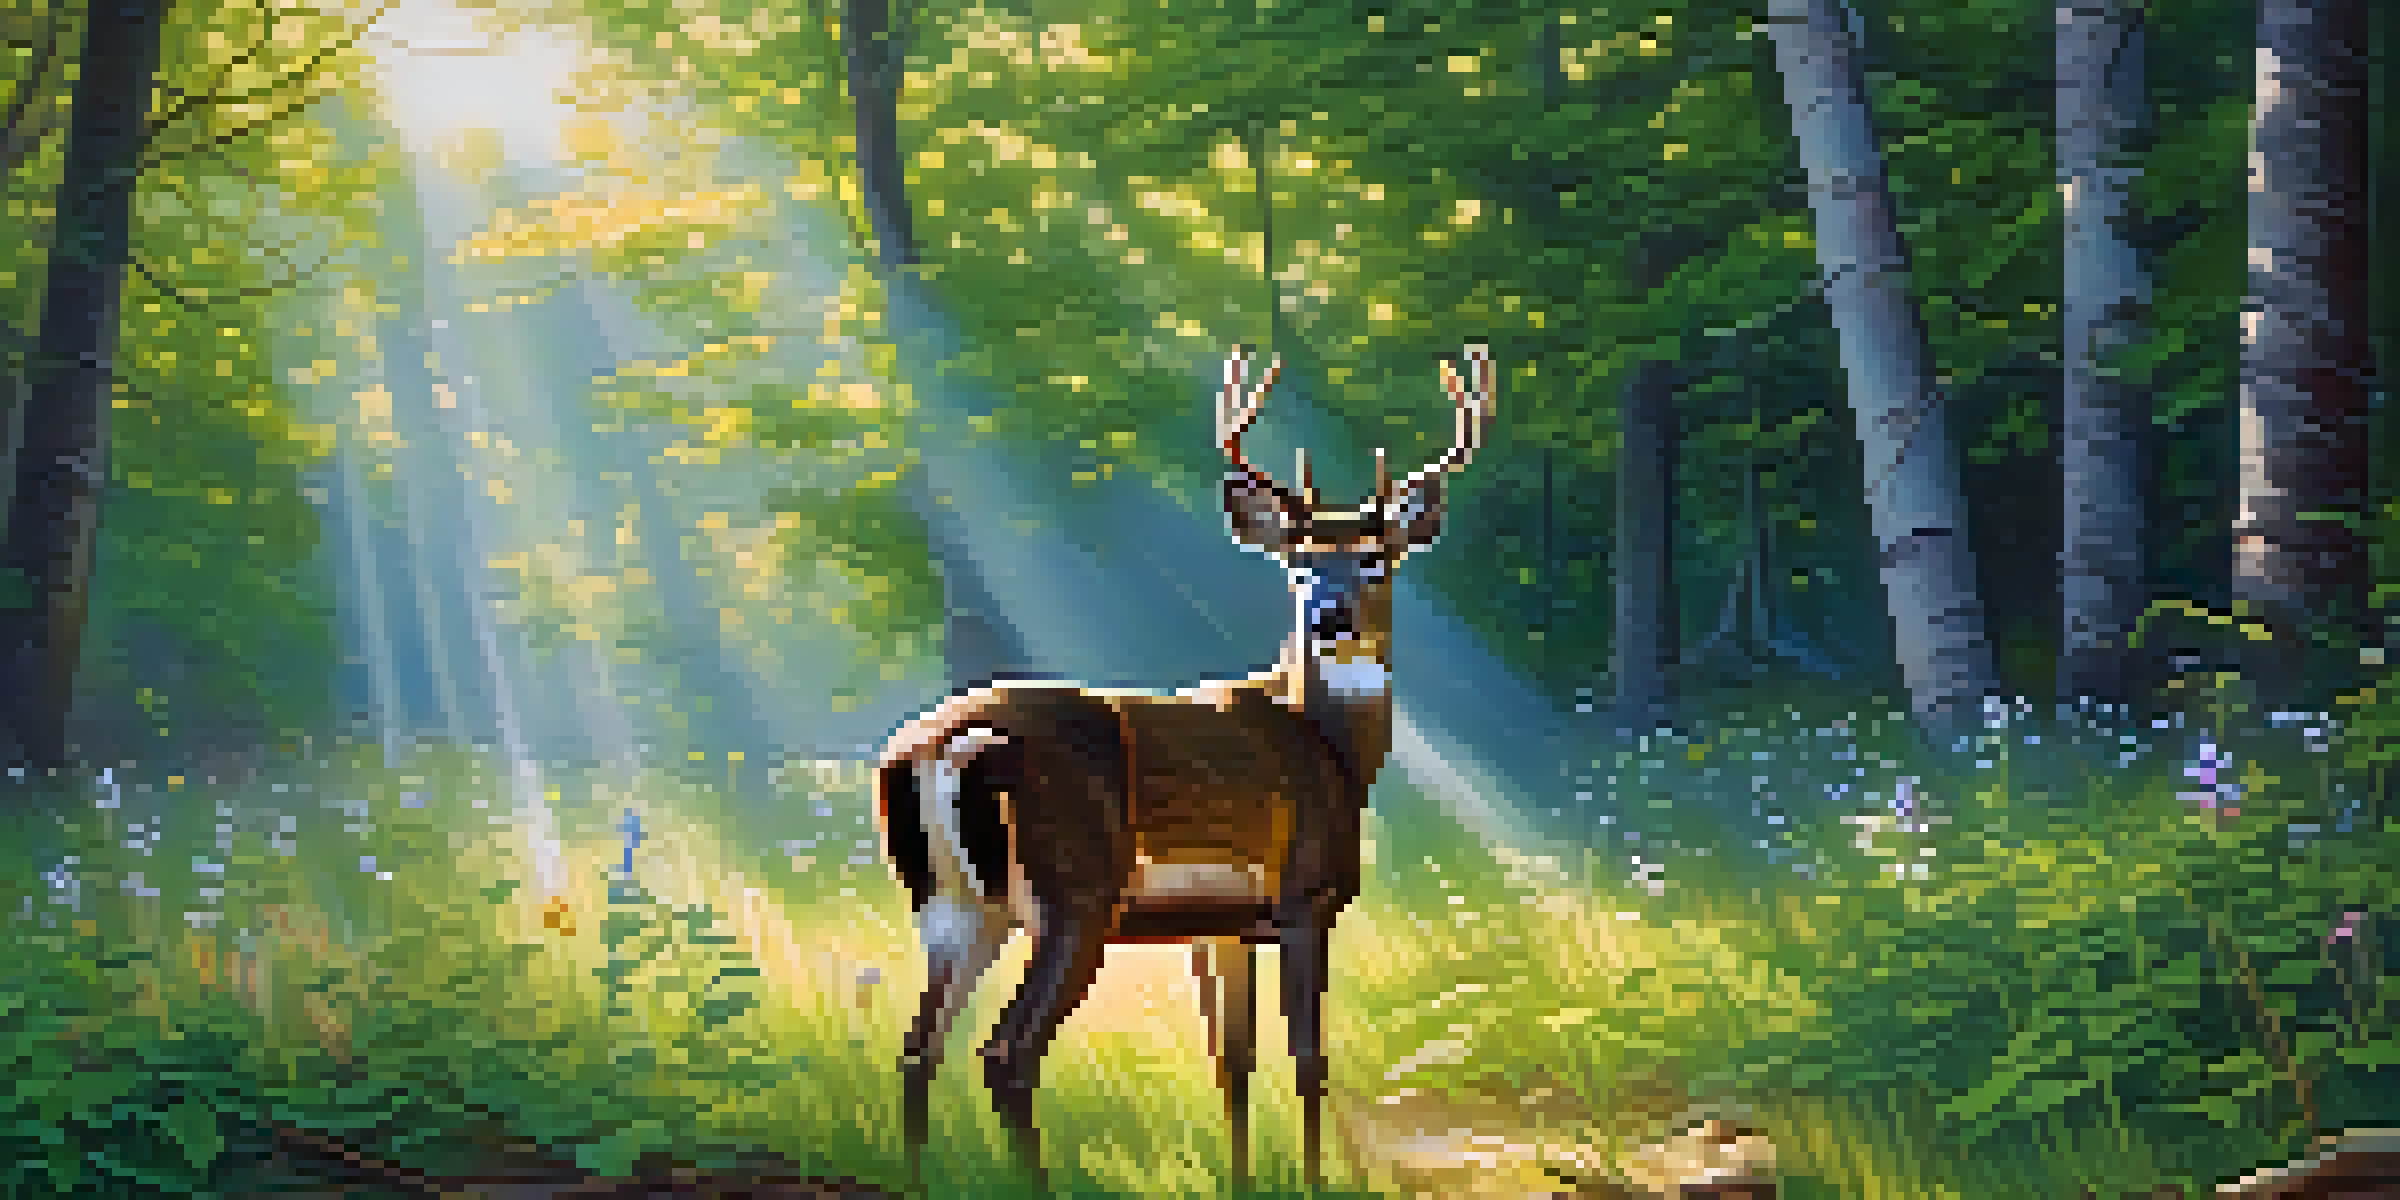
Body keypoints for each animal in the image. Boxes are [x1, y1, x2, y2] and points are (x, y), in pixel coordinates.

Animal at [874, 342, 1493, 1194]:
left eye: (1375, 560)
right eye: (1299, 565)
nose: (1329, 619)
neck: (1332, 752)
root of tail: (941, 744)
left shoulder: (1220, 925)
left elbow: (1232, 1064)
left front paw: (1242, 1181)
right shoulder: (1304, 897)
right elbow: (1309, 1061)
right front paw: (1312, 1179)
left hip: (956, 903)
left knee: (917, 1050)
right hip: (1076, 894)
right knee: (1005, 1054)